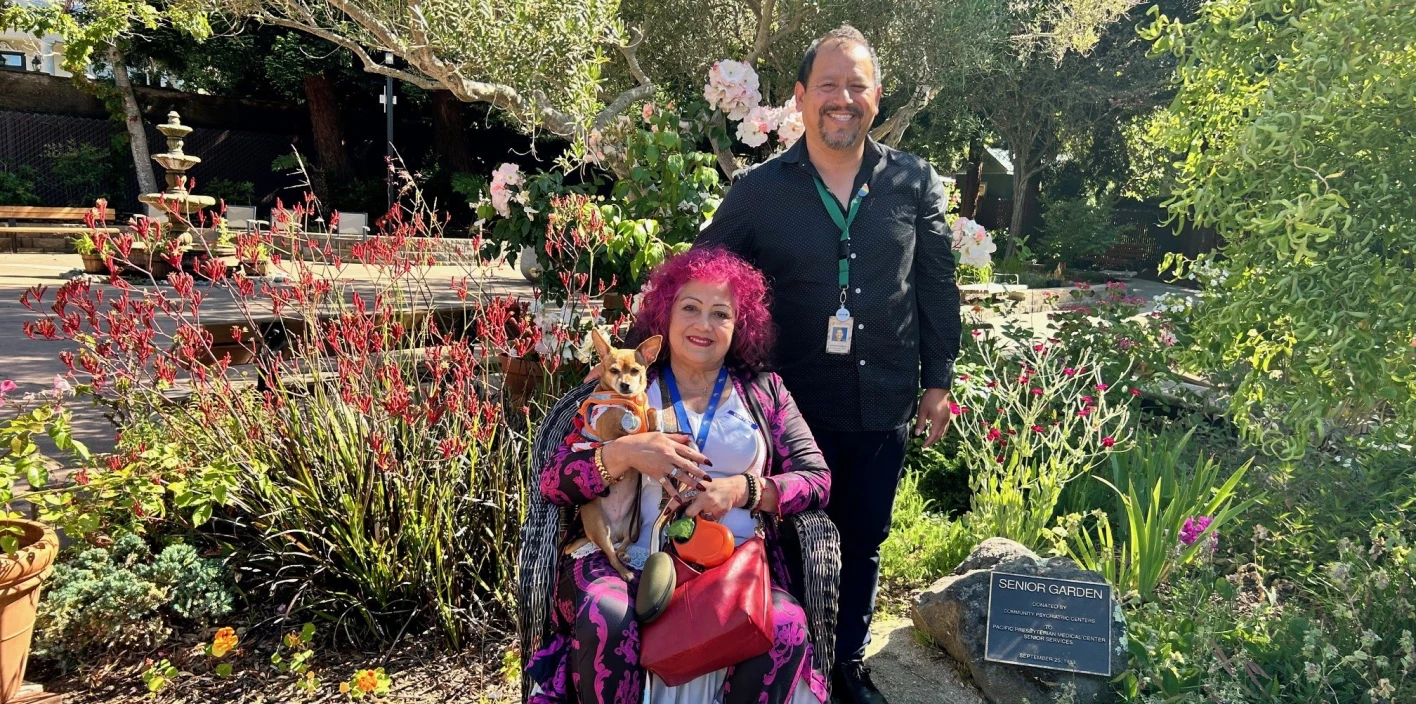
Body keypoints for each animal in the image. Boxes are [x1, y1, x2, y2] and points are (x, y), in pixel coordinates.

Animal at [566, 328, 665, 575]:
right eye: (613, 371)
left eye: (635, 371)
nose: (625, 385)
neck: (629, 402)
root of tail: (616, 529)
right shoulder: (610, 431)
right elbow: (627, 434)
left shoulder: (644, 409)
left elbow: (650, 412)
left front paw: (654, 422)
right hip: (599, 527)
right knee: (610, 556)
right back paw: (625, 571)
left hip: (634, 523)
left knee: (623, 543)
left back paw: (624, 553)